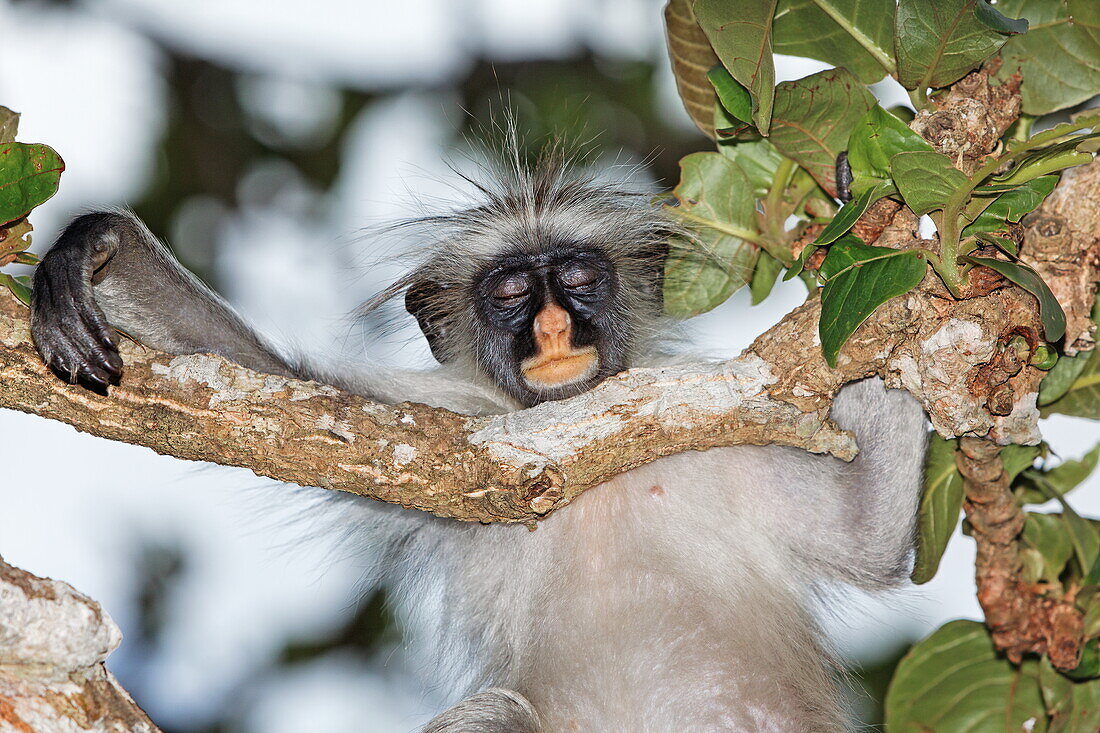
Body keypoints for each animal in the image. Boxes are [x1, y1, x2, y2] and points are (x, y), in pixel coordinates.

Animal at [30, 149, 924, 730]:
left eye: (580, 279)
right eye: (511, 292)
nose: (555, 326)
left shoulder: (717, 442)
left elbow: (869, 536)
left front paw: (869, 242)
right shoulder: (450, 436)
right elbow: (265, 384)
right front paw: (95, 245)